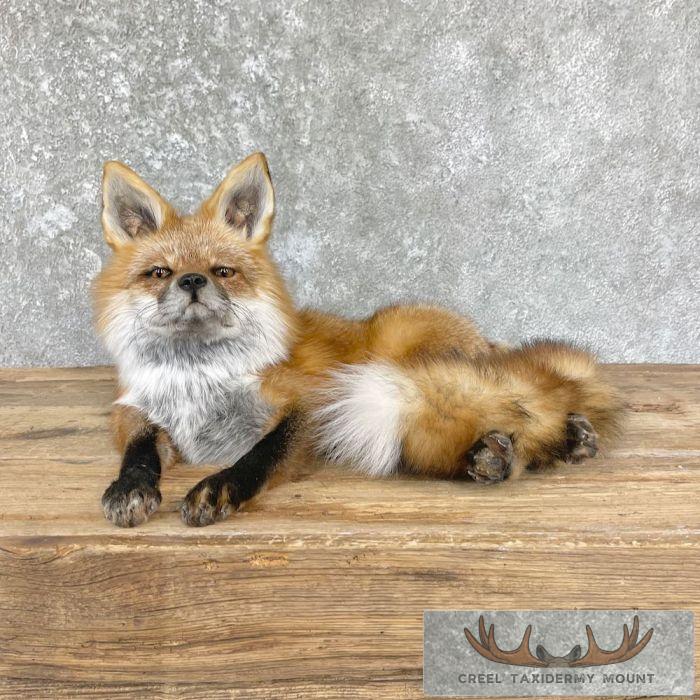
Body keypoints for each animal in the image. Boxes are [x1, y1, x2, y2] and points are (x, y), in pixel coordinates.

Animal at [94, 152, 623, 528]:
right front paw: (130, 486)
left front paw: (223, 483)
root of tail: (486, 340)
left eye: (222, 271)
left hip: (405, 351)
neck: (199, 378)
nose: (191, 282)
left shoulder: (309, 402)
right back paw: (545, 444)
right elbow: (138, 450)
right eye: (160, 272)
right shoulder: (134, 409)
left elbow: (262, 453)